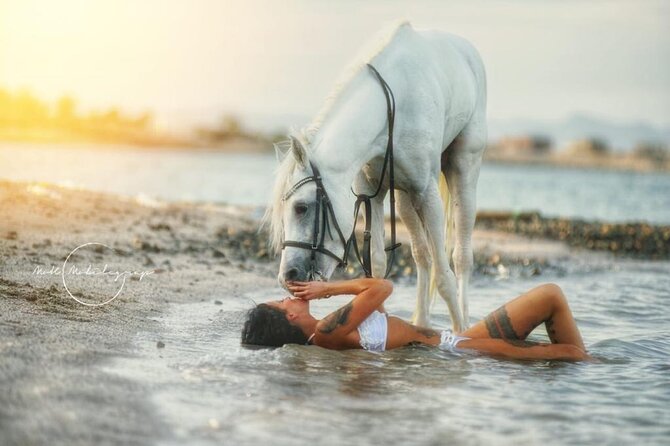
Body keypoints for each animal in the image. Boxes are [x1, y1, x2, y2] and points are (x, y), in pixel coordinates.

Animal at [266, 21, 487, 331]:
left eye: (301, 207)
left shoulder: (427, 193)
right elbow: (379, 267)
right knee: (421, 255)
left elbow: (444, 276)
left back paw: (465, 324)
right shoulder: (373, 194)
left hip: (464, 167)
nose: (288, 276)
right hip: (404, 197)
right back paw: (421, 322)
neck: (392, 108)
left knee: (461, 256)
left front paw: (459, 335)